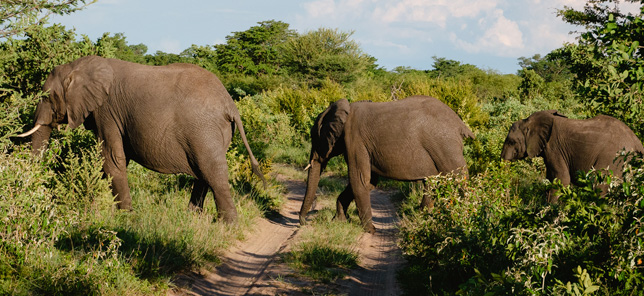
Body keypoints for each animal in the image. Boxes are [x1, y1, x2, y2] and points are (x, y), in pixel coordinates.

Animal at [17, 55, 266, 222]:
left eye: (46, 97)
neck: (80, 66)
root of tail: (230, 104)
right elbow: (115, 160)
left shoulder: (106, 111)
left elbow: (113, 159)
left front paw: (125, 217)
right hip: (214, 133)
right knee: (203, 173)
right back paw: (192, 217)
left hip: (204, 130)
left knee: (212, 172)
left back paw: (227, 225)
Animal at [300, 95, 476, 234]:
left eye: (315, 138)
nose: (302, 223)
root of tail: (460, 124)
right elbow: (368, 181)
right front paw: (339, 221)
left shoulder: (355, 140)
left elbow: (359, 180)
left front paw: (370, 231)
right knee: (432, 184)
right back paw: (422, 219)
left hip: (446, 147)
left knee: (459, 181)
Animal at [504, 110, 644, 202]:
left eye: (511, 142)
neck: (528, 121)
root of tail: (637, 142)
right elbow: (550, 179)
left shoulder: (554, 148)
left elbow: (562, 179)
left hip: (615, 158)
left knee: (599, 186)